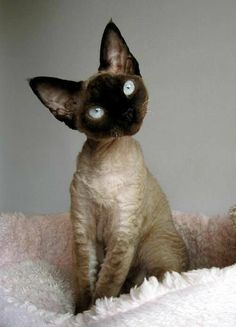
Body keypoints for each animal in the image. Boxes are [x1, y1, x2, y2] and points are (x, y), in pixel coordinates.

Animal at [29, 20, 189, 312]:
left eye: (127, 89)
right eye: (97, 112)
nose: (126, 113)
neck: (106, 160)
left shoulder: (122, 236)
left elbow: (104, 287)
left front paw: (99, 313)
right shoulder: (85, 235)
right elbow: (87, 283)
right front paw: (79, 314)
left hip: (155, 251)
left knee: (150, 281)